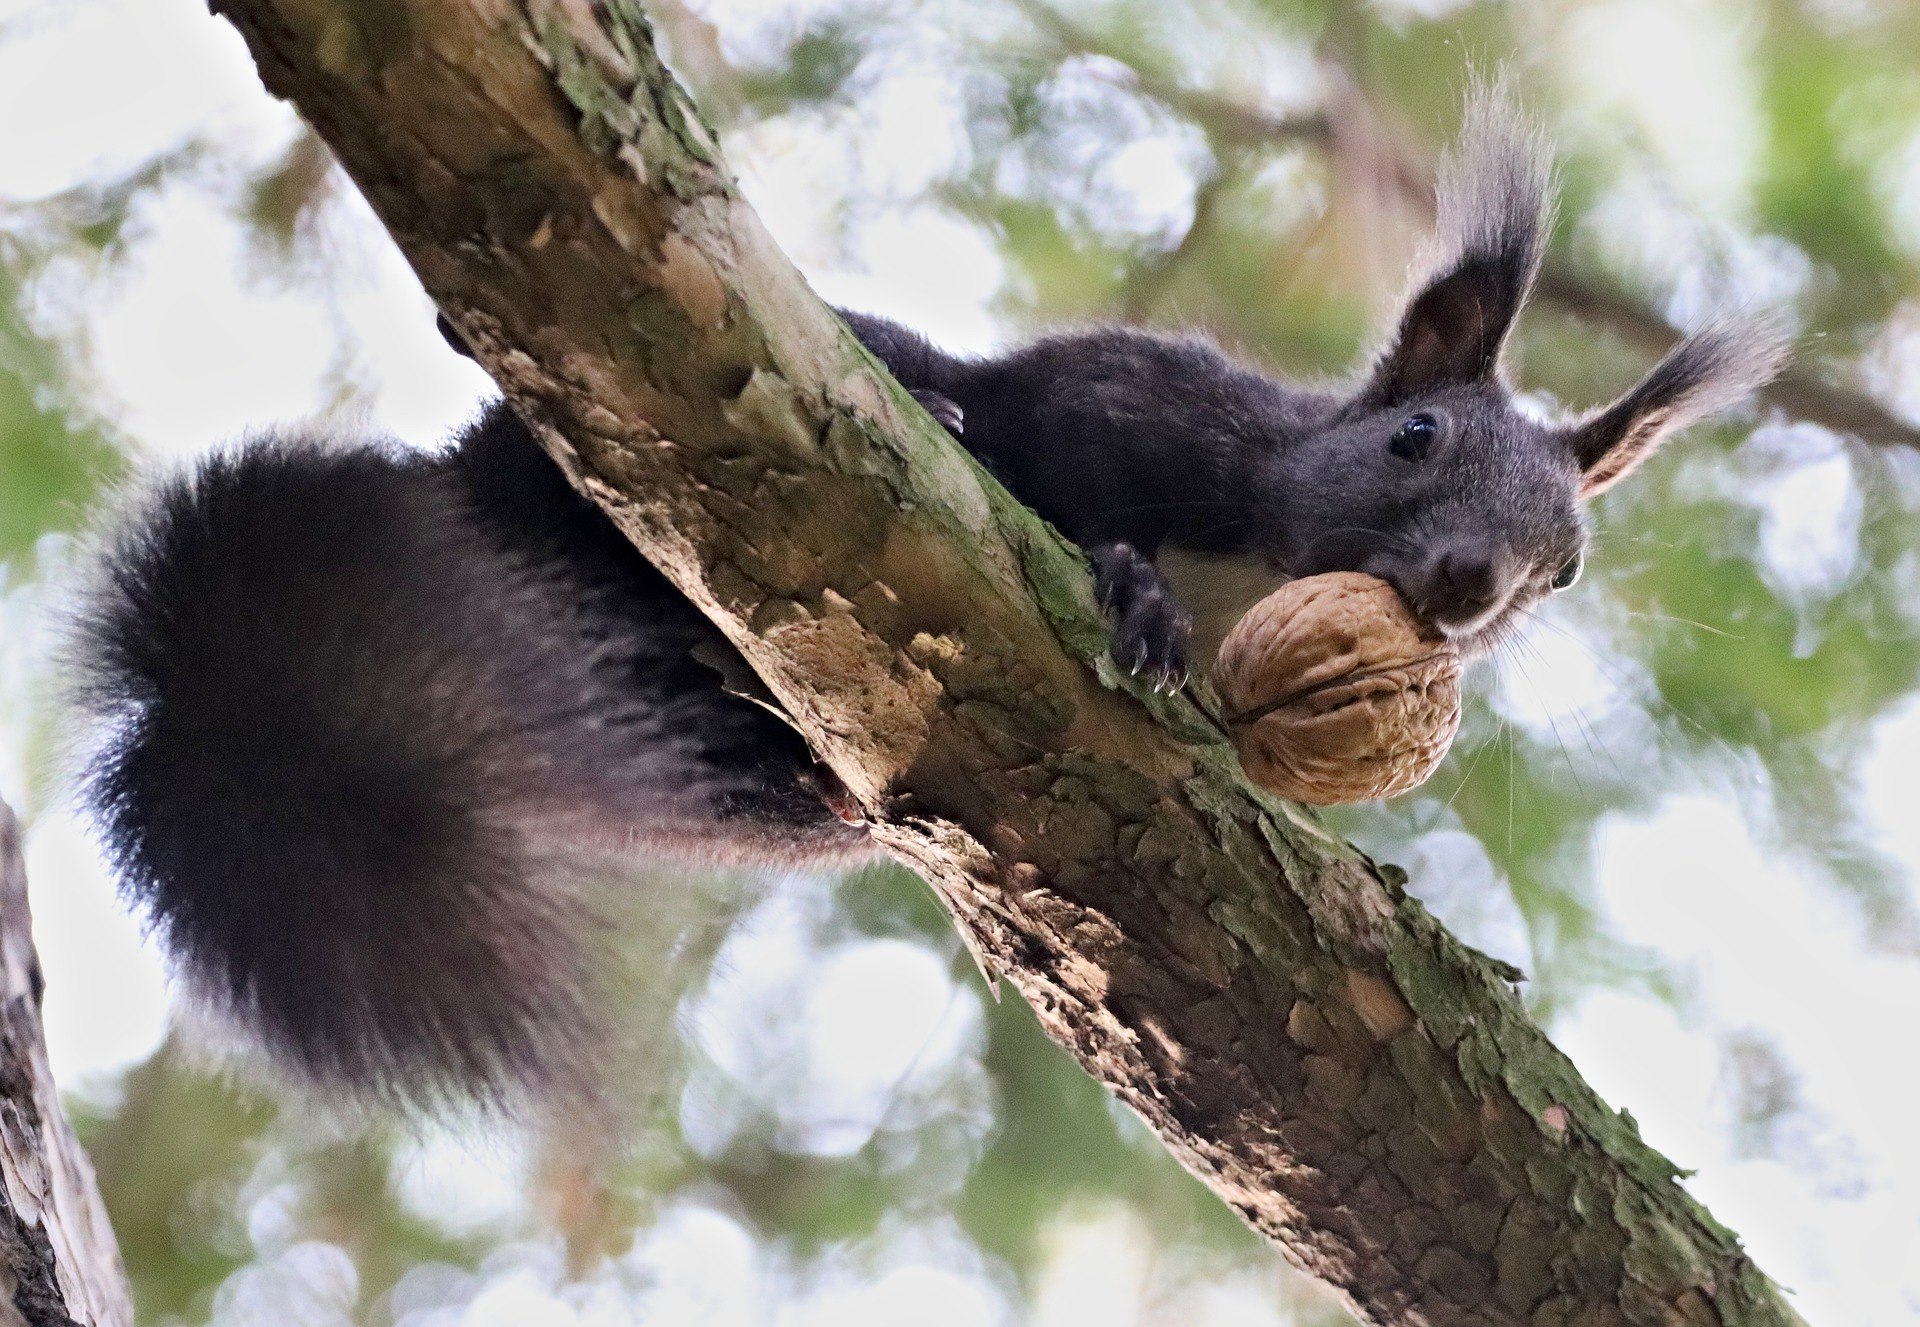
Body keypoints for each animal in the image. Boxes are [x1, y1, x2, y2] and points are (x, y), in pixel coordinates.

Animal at [67, 96, 1789, 1113]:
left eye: (1565, 569)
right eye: (1416, 435)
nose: (1463, 588)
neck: (1267, 555)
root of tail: (464, 508)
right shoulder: (1132, 407)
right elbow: (1083, 479)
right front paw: (1133, 585)